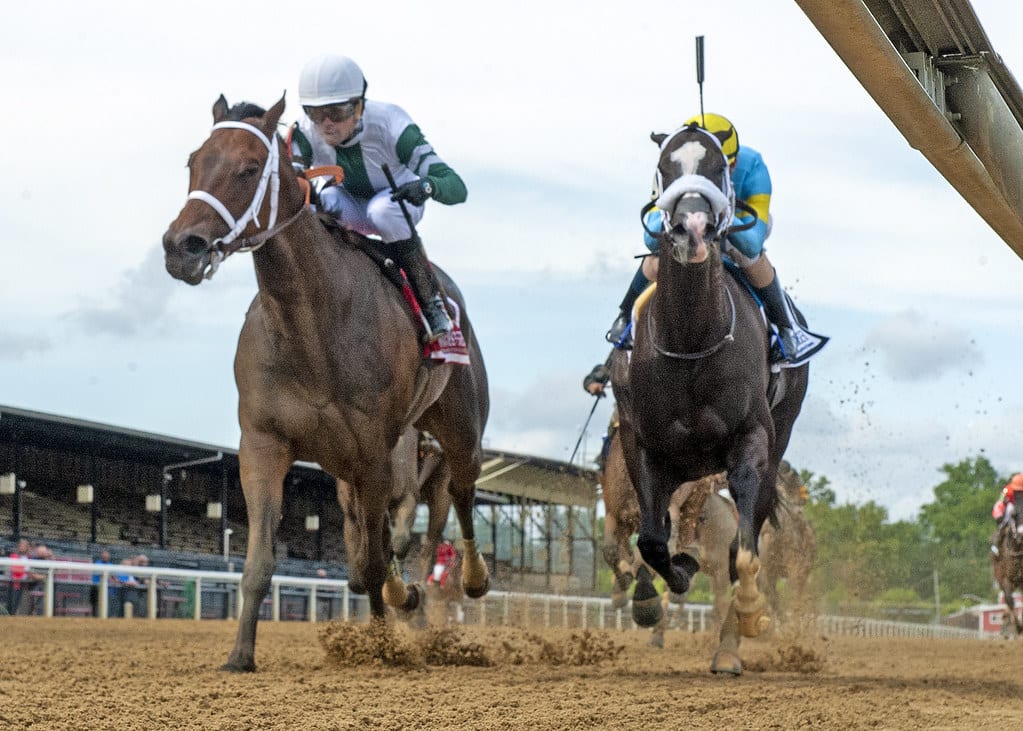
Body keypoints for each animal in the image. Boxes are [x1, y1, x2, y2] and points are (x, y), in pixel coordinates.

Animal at [161, 97, 488, 674]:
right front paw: (239, 656)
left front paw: (382, 646)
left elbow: (379, 559)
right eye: (193, 162)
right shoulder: (264, 444)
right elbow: (263, 562)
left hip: (459, 430)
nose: (182, 246)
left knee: (461, 495)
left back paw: (468, 579)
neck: (312, 323)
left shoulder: (377, 454)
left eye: (250, 168)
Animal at [609, 124, 810, 674]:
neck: (692, 340)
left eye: (720, 167)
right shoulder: (643, 446)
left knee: (748, 537)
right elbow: (652, 542)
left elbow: (743, 552)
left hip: (778, 435)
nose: (692, 228)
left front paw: (752, 612)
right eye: (665, 166)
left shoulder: (750, 440)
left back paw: (729, 646)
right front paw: (666, 583)